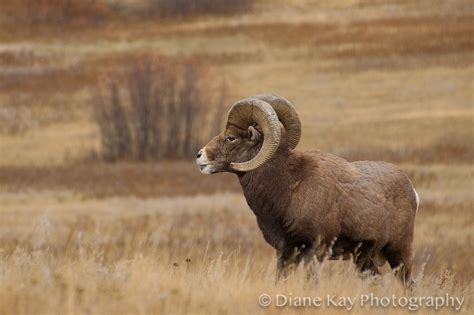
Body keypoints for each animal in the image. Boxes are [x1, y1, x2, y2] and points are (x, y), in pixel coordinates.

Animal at [196, 94, 418, 286]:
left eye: (231, 138)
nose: (200, 156)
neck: (288, 189)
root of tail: (412, 191)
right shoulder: (285, 253)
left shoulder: (313, 251)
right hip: (364, 260)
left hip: (398, 253)